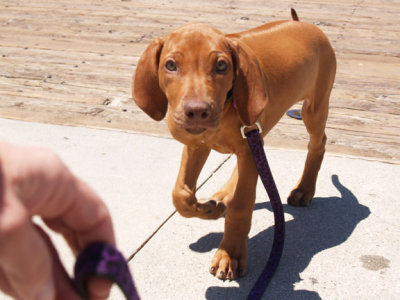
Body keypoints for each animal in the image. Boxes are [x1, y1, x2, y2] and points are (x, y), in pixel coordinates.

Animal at [131, 9, 334, 282]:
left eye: (221, 65)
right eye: (170, 65)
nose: (197, 112)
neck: (227, 104)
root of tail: (303, 24)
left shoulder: (247, 147)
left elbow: (241, 204)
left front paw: (231, 253)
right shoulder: (199, 144)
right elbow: (181, 194)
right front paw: (207, 210)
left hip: (313, 108)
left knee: (318, 143)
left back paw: (304, 189)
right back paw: (220, 198)